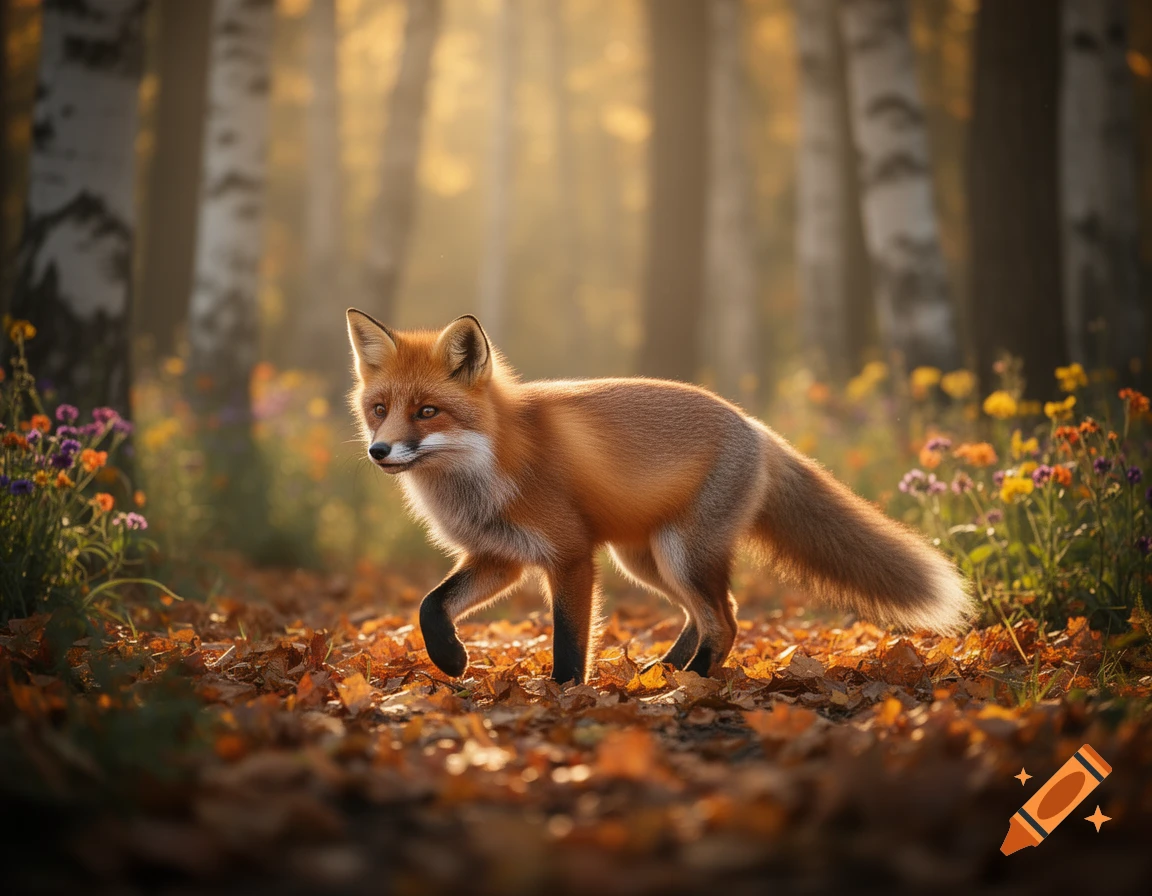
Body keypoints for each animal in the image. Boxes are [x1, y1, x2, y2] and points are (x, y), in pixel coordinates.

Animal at [346, 309, 974, 685]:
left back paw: (685, 688)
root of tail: (756, 427)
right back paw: (665, 674)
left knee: (726, 621)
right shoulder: (500, 556)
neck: (489, 462)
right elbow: (431, 605)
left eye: (427, 411)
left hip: (679, 554)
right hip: (646, 559)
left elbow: (569, 642)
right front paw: (450, 658)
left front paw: (564, 698)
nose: (380, 451)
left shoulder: (569, 555)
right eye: (379, 409)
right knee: (711, 614)